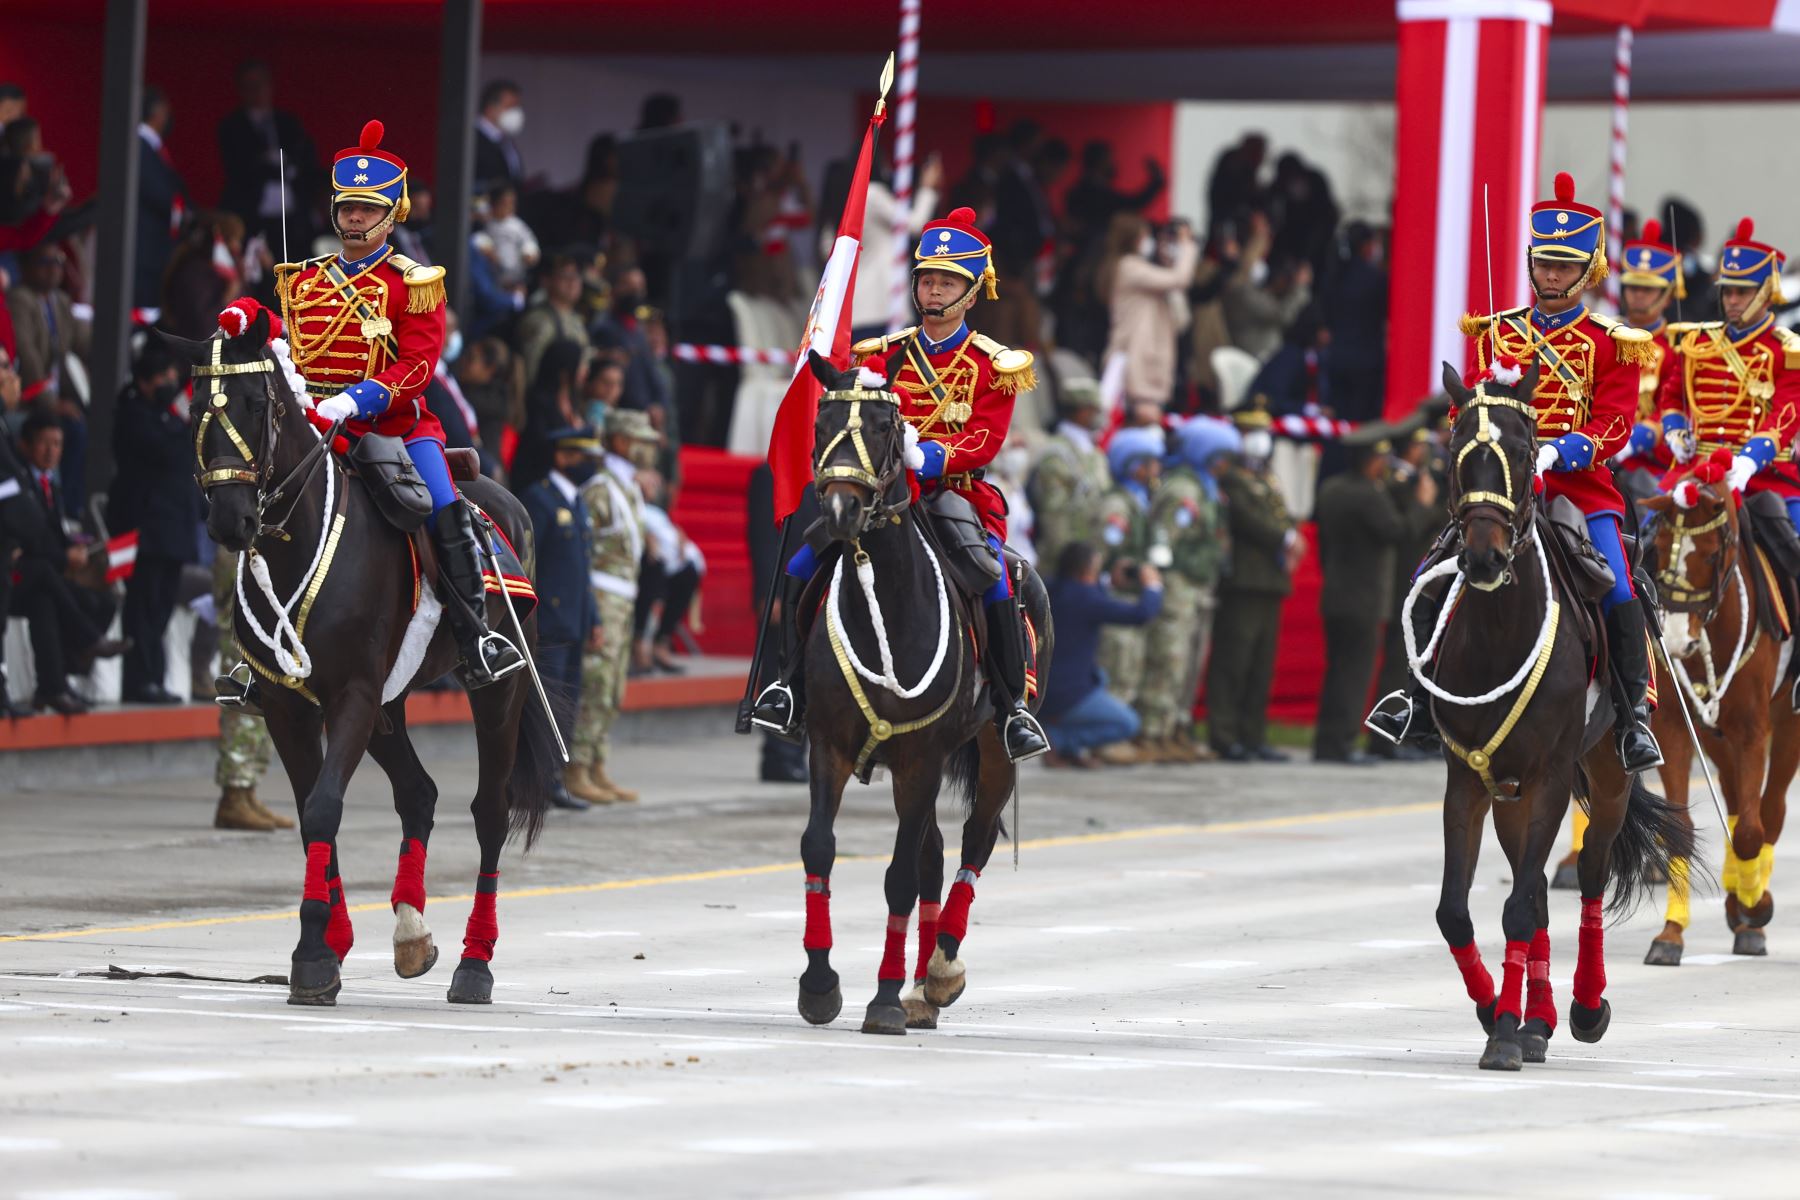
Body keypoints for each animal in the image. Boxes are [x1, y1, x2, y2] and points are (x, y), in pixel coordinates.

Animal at [170, 307, 561, 1007]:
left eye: (256, 404)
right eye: (194, 410)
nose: (229, 520)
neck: (298, 539)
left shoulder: (350, 693)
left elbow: (325, 806)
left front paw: (311, 954)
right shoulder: (288, 705)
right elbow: (310, 817)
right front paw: (328, 944)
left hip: (497, 690)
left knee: (489, 812)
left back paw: (475, 963)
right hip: (389, 704)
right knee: (419, 794)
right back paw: (411, 933)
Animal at [792, 354, 1051, 1036]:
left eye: (886, 428)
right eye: (822, 419)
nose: (841, 510)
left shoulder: (920, 756)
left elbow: (900, 876)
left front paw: (882, 998)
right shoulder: (829, 745)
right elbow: (820, 848)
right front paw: (820, 984)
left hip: (990, 752)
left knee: (973, 842)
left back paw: (938, 971)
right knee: (935, 849)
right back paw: (920, 987)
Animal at [1418, 361, 1684, 1072]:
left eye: (1520, 448)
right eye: (1456, 450)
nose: (1483, 558)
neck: (1497, 634)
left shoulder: (1551, 777)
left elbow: (1520, 906)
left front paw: (1506, 1031)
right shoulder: (1467, 780)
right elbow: (1458, 912)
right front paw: (1498, 1015)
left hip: (1604, 776)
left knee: (1588, 874)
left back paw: (1584, 1009)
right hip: (1509, 792)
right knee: (1533, 886)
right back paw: (1537, 1020)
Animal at [1641, 464, 1792, 964]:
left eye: (1709, 555)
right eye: (1656, 547)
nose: (1673, 641)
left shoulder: (1752, 729)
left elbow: (1750, 831)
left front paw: (1757, 905)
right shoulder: (1674, 727)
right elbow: (1683, 827)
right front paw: (1670, 933)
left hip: (1786, 725)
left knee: (1771, 810)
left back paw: (1749, 909)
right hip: (1713, 734)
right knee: (1735, 800)